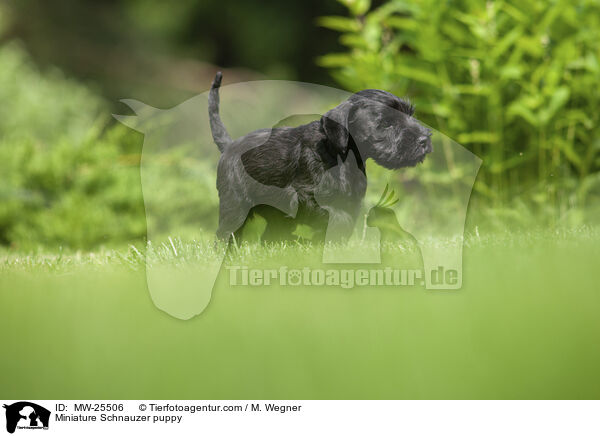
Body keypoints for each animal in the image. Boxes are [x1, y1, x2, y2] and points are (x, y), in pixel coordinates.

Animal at [210, 71, 432, 242]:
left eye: (410, 114)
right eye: (386, 123)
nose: (424, 140)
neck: (339, 153)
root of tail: (229, 145)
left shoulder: (352, 202)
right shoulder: (308, 197)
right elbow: (336, 219)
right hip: (236, 203)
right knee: (226, 233)